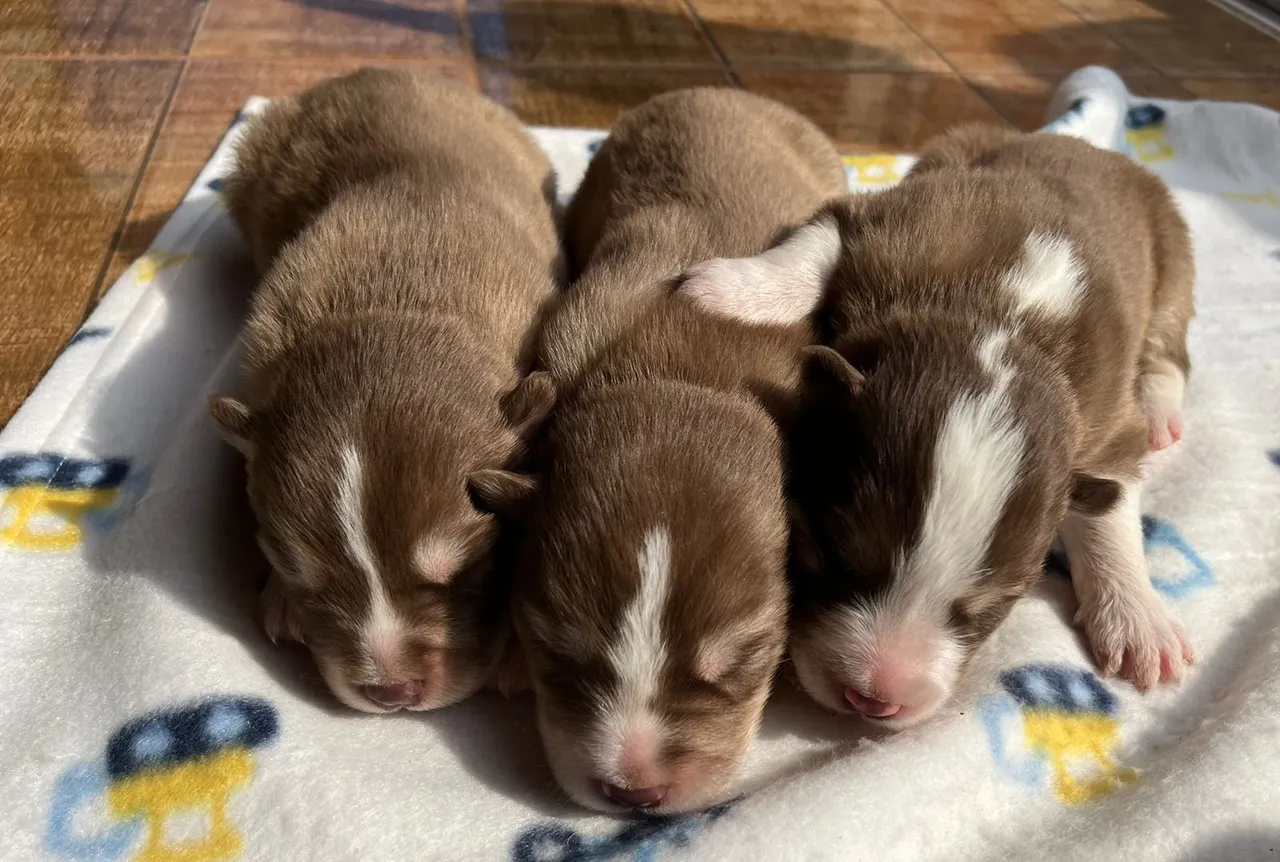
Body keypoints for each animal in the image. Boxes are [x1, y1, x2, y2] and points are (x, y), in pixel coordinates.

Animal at [207, 67, 558, 712]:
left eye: (462, 571)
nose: (391, 692)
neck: (396, 305)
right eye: (301, 573)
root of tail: (377, 69)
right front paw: (280, 601)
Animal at [501, 89, 849, 814]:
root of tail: (728, 91)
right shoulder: (569, 337)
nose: (634, 793)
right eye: (557, 648)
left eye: (738, 660)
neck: (681, 376)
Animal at [680, 121, 1198, 727]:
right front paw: (730, 289)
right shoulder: (886, 223)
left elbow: (1111, 508)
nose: (874, 700)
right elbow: (815, 243)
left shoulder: (1106, 414)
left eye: (992, 606)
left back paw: (1160, 411)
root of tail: (1089, 145)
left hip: (1173, 255)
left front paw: (1139, 621)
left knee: (1171, 350)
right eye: (837, 557)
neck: (997, 321)